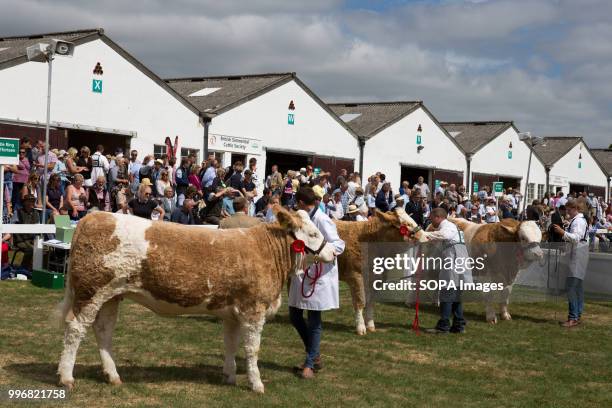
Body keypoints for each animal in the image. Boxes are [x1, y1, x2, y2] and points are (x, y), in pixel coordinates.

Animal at [55, 207, 334, 392]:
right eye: (312, 233)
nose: (332, 251)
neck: (264, 250)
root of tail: (93, 216)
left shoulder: (233, 313)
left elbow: (231, 344)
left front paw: (230, 376)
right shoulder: (253, 309)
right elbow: (252, 349)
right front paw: (256, 384)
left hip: (112, 296)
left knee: (103, 331)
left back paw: (112, 375)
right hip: (90, 292)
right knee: (75, 329)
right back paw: (67, 377)